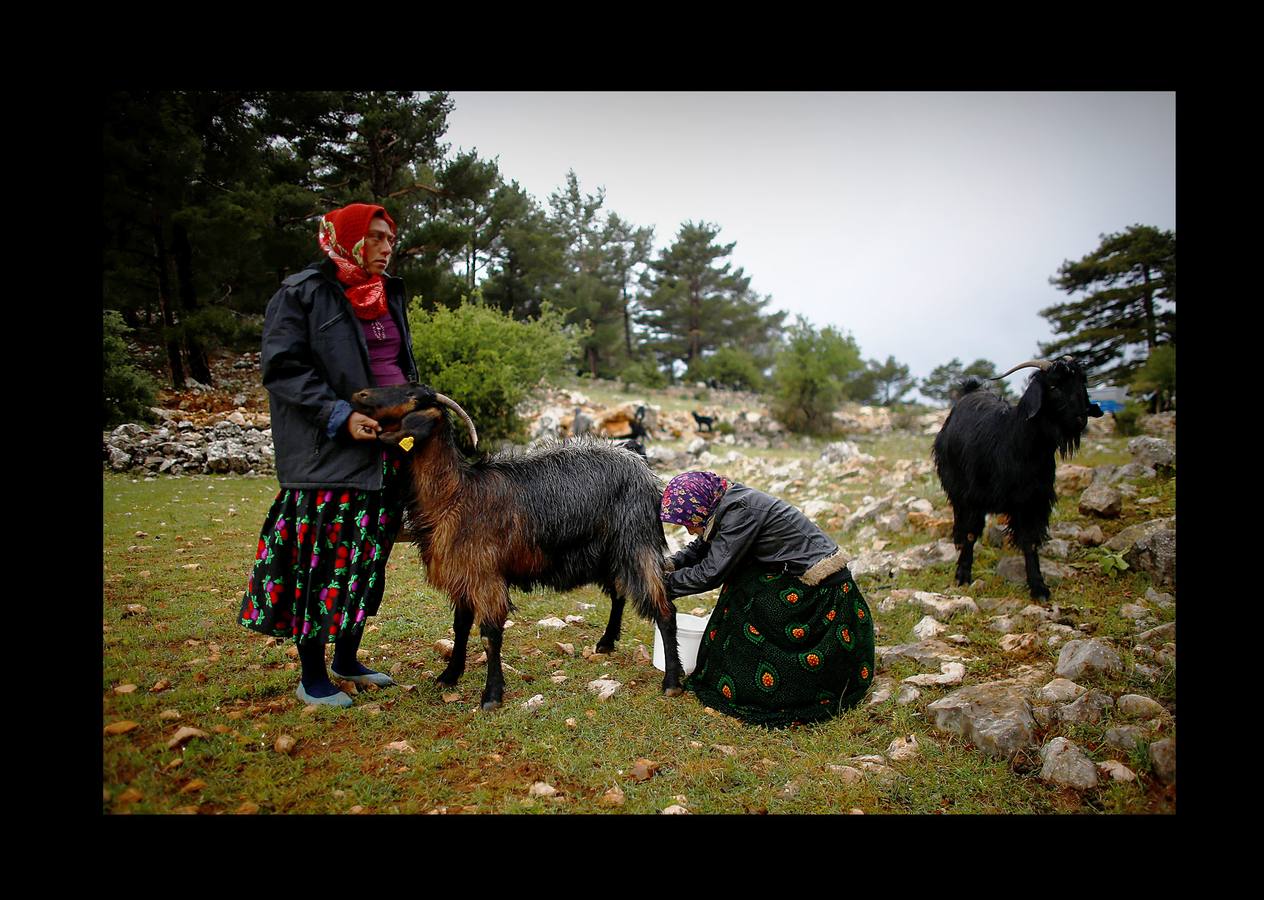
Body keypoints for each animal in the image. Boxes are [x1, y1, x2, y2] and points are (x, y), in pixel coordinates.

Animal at [351, 384, 687, 712]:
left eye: (411, 396)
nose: (360, 394)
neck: (455, 496)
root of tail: (641, 465)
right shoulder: (463, 575)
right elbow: (460, 628)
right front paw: (449, 675)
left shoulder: (486, 576)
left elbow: (490, 636)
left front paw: (491, 696)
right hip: (608, 552)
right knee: (618, 593)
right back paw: (606, 642)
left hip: (637, 543)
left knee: (664, 608)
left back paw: (672, 681)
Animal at [930, 356, 1107, 596]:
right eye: (1053, 386)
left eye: (1082, 382)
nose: (1080, 419)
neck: (1015, 442)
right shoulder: (975, 496)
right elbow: (970, 534)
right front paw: (962, 575)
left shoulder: (1032, 501)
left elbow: (1029, 541)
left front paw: (1038, 586)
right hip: (955, 484)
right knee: (959, 514)